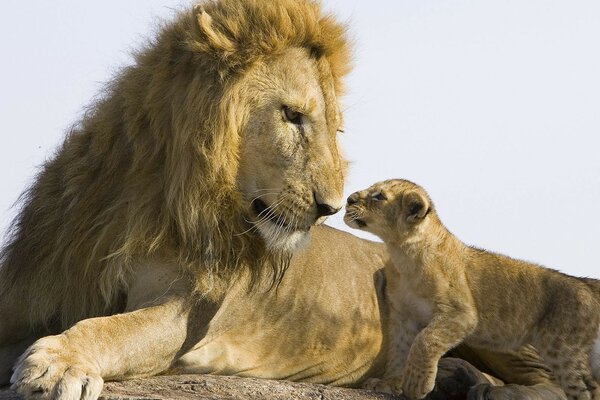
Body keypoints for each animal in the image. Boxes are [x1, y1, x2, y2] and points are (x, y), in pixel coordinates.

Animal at [2, 0, 568, 400]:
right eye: (292, 116)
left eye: (335, 129)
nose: (331, 207)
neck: (156, 196)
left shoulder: (185, 312)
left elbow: (114, 328)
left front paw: (59, 360)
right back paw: (451, 379)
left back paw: (495, 391)